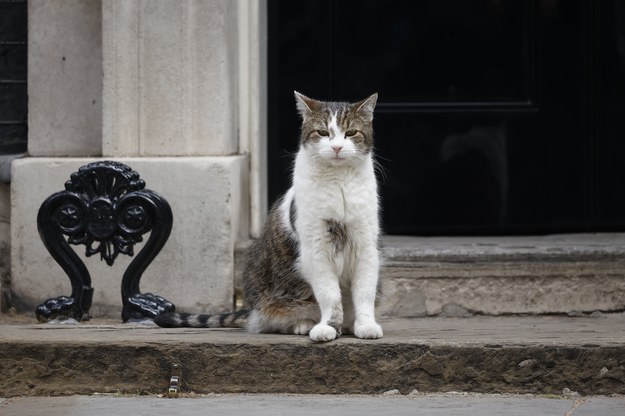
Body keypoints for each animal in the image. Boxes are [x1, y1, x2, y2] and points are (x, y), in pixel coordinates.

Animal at [154, 91, 382, 342]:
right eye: (323, 133)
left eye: (351, 133)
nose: (337, 147)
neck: (339, 181)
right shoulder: (317, 248)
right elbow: (329, 294)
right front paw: (328, 327)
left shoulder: (366, 246)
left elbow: (364, 293)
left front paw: (366, 325)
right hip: (262, 281)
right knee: (273, 318)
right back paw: (303, 324)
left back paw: (348, 324)